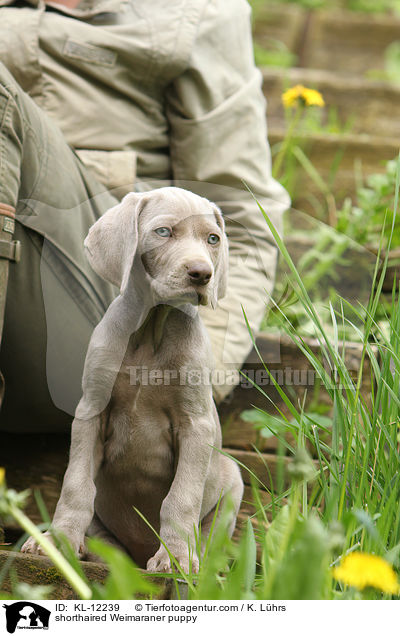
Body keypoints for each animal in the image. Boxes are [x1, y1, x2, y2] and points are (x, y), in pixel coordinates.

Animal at [21, 186, 244, 572]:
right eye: (163, 232)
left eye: (213, 239)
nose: (202, 273)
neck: (151, 328)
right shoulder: (91, 410)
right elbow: (76, 485)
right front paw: (59, 540)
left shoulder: (196, 424)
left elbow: (181, 496)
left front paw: (176, 556)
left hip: (232, 481)